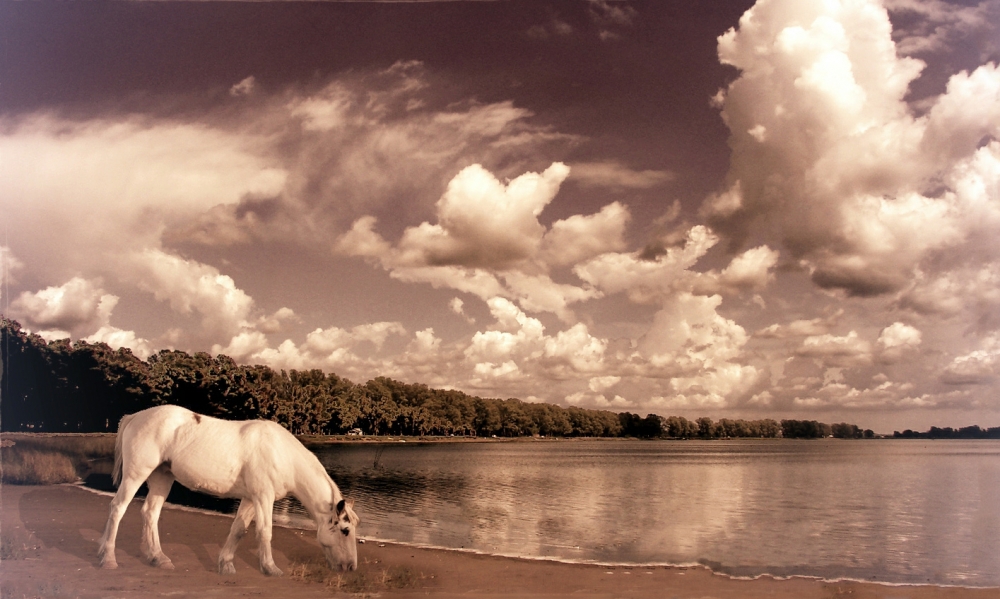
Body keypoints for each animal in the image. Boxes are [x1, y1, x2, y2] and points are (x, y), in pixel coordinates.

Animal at [96, 408, 360, 576]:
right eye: (345, 531)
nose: (350, 567)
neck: (281, 453)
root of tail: (136, 416)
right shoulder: (263, 497)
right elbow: (265, 532)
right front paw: (270, 568)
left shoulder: (251, 499)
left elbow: (238, 530)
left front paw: (226, 564)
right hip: (136, 474)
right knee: (118, 508)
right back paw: (108, 558)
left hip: (162, 476)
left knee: (150, 514)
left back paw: (158, 558)